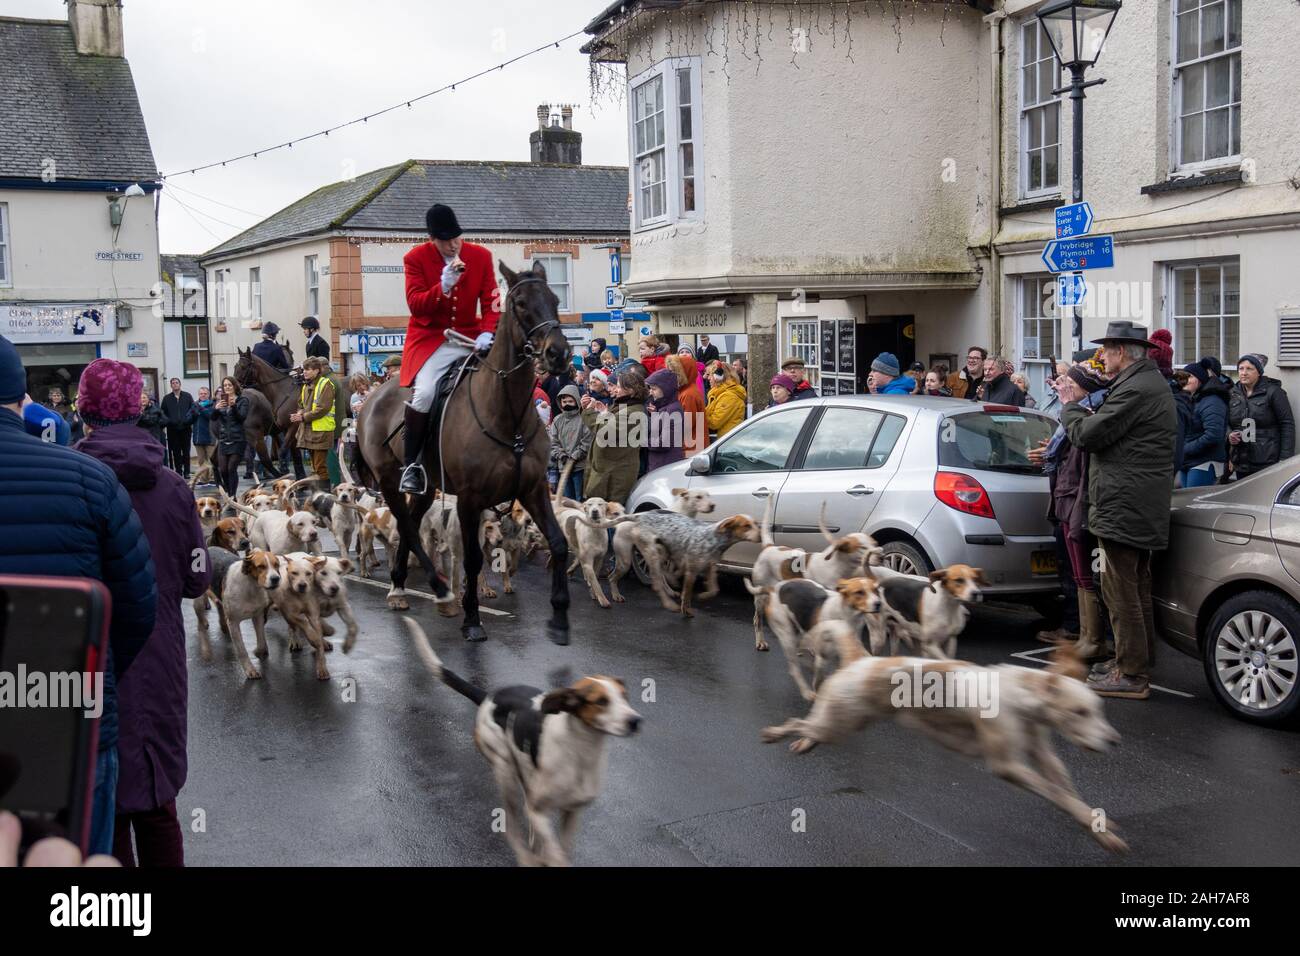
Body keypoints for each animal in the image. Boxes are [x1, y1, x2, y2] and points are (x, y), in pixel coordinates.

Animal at [233, 343, 301, 478]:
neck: (281, 391)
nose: (234, 386)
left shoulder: (288, 428)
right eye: (236, 366)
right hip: (255, 434)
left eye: (243, 367)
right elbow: (285, 451)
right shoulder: (285, 429)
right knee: (262, 457)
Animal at [358, 261, 577, 647]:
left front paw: (560, 618)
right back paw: (438, 591)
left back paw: (401, 586)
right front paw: (473, 619)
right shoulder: (470, 499)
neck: (507, 414)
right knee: (408, 527)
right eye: (520, 303)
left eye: (554, 299)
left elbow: (559, 543)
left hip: (426, 487)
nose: (559, 354)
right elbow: (473, 559)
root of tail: (374, 395)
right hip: (387, 479)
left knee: (410, 523)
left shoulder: (533, 489)